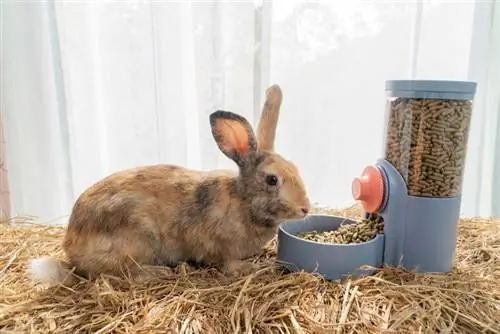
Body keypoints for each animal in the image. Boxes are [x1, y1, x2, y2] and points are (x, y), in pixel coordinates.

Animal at [27, 85, 310, 286]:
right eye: (272, 179)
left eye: (296, 169)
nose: (305, 208)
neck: (243, 200)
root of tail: (72, 250)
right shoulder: (220, 248)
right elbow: (226, 263)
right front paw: (248, 268)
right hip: (138, 238)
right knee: (119, 274)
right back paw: (159, 272)